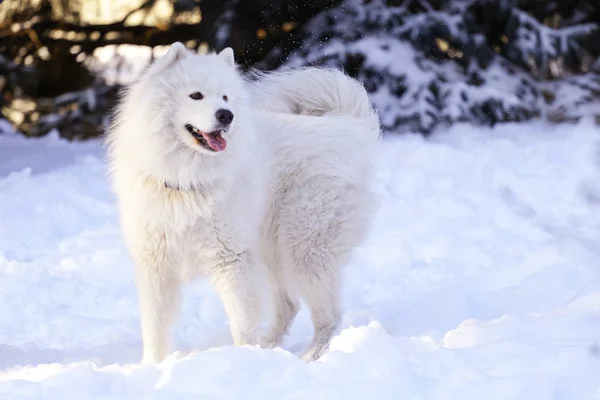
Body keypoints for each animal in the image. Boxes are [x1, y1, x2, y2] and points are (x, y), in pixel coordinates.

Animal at [106, 42, 382, 364]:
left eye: (225, 97)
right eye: (196, 95)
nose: (226, 115)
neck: (185, 180)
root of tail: (348, 125)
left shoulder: (232, 260)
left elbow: (242, 323)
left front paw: (244, 359)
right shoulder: (156, 266)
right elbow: (155, 330)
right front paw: (153, 367)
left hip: (304, 250)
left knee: (328, 317)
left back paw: (309, 357)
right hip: (272, 252)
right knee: (289, 306)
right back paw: (269, 349)